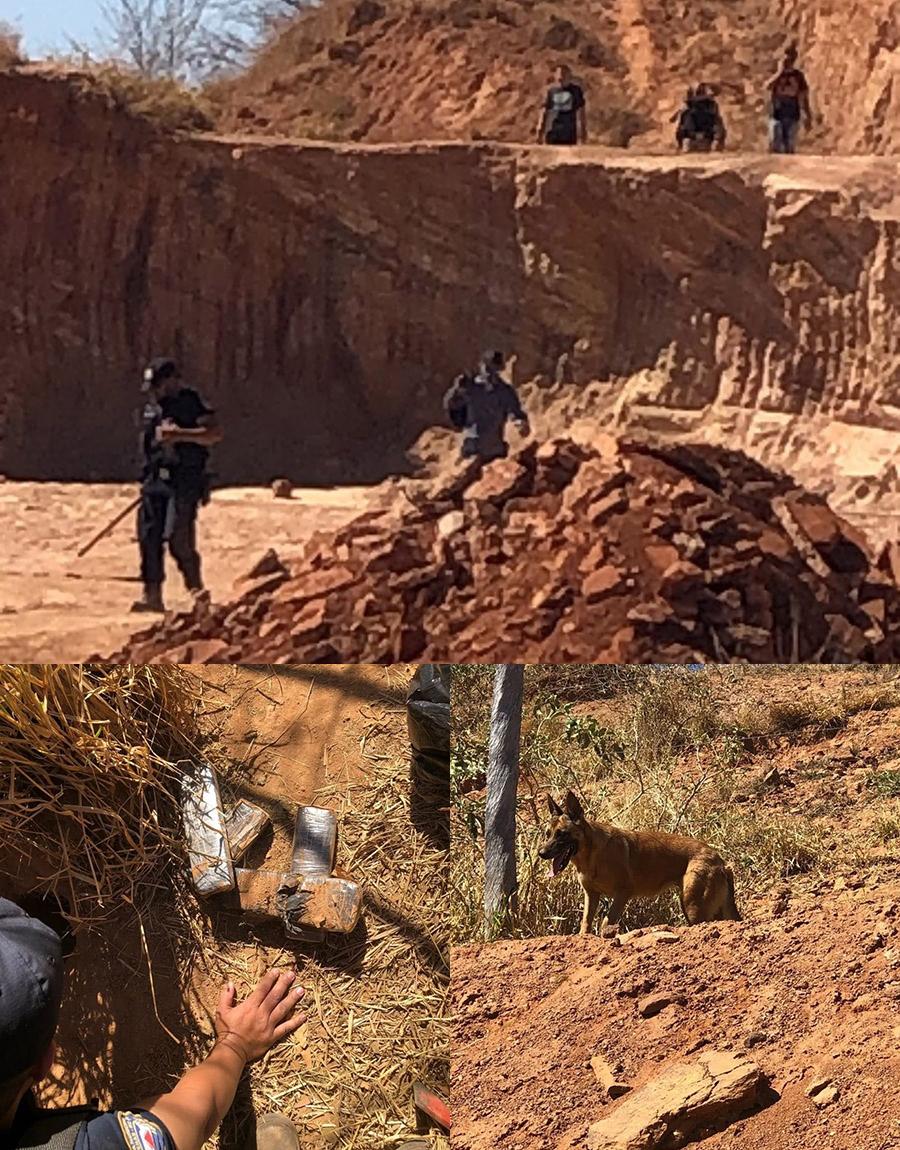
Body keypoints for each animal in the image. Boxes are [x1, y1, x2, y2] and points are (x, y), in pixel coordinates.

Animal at [542, 791, 740, 933]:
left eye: (562, 834)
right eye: (547, 834)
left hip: (693, 906)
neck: (591, 856)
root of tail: (720, 861)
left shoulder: (622, 894)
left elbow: (606, 921)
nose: (541, 853)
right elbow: (586, 923)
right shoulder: (591, 895)